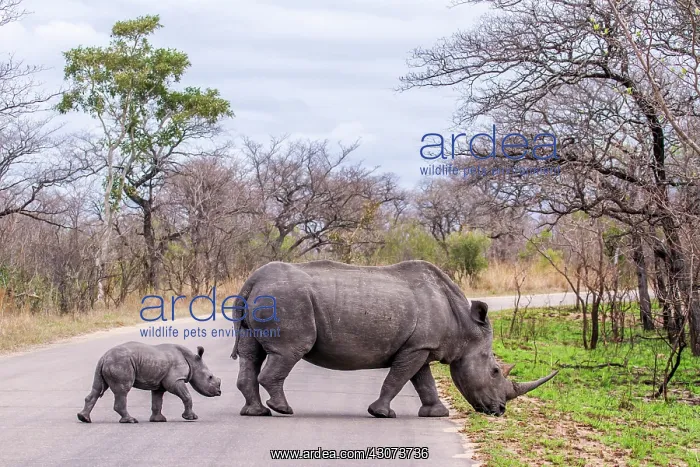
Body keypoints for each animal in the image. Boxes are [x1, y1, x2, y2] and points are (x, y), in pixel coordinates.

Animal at [78, 342, 221, 423]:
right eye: (210, 377)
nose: (219, 392)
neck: (192, 360)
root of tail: (104, 357)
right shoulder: (174, 380)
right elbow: (187, 396)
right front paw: (191, 418)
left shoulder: (160, 384)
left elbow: (157, 401)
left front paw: (159, 420)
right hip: (120, 363)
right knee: (123, 391)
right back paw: (131, 421)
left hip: (108, 364)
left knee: (97, 389)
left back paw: (84, 419)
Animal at [231, 260, 557, 418]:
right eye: (495, 371)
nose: (500, 411)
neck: (465, 327)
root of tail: (252, 281)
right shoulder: (417, 347)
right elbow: (398, 379)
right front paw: (381, 413)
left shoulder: (421, 346)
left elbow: (423, 381)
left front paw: (437, 414)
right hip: (287, 300)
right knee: (289, 352)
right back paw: (283, 410)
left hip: (269, 297)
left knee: (251, 354)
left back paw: (257, 413)